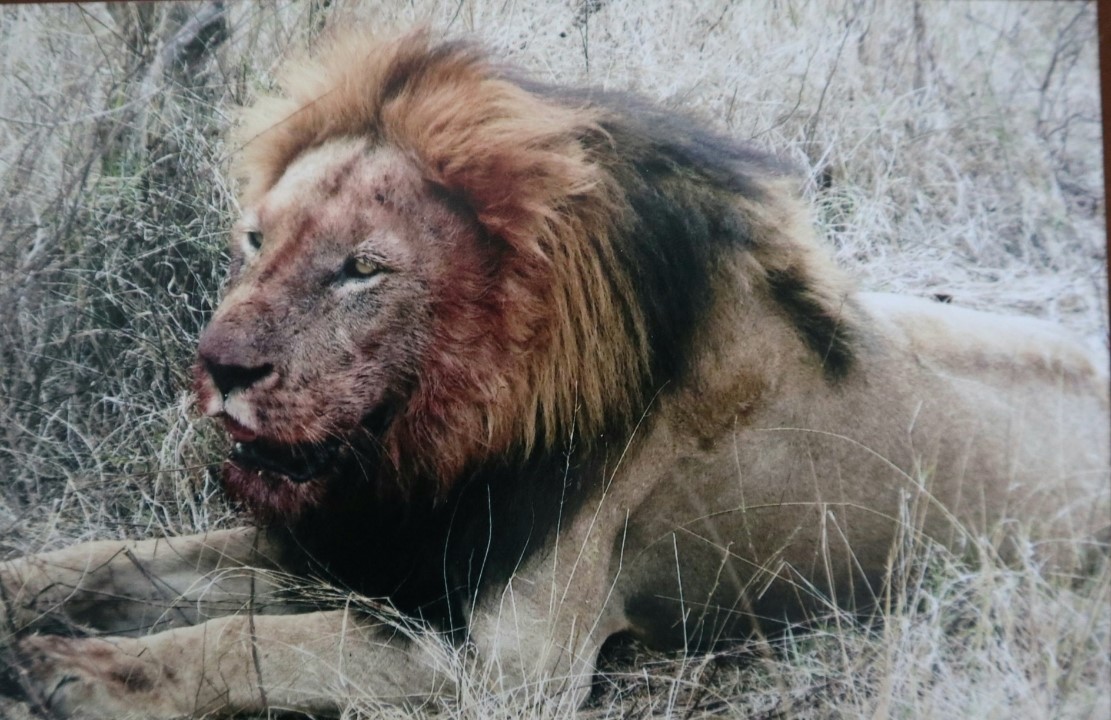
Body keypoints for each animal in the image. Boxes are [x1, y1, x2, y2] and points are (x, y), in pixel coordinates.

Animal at [1, 29, 1107, 718]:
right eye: (254, 238)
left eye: (364, 269)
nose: (219, 370)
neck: (449, 437)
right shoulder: (363, 550)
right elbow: (107, 561)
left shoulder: (513, 671)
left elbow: (253, 641)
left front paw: (79, 676)